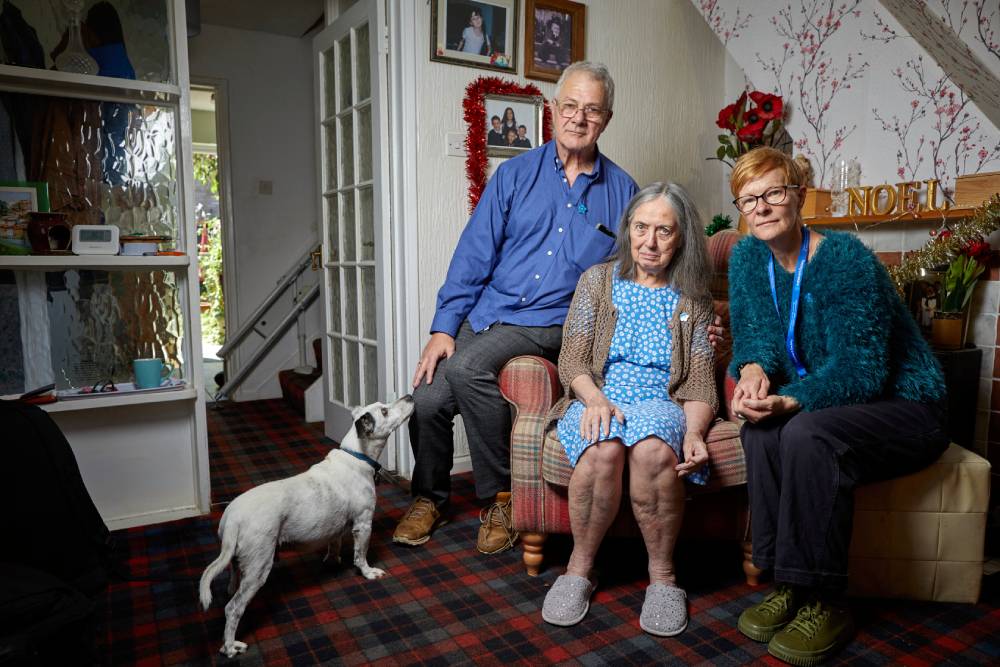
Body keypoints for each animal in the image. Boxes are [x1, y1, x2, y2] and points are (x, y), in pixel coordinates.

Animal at [199, 396, 414, 656]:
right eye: (384, 411)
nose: (410, 397)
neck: (357, 455)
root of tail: (232, 517)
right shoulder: (363, 523)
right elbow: (360, 555)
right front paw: (368, 572)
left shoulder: (336, 526)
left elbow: (334, 544)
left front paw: (332, 560)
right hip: (259, 566)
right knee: (233, 608)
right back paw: (230, 647)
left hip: (237, 558)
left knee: (232, 578)